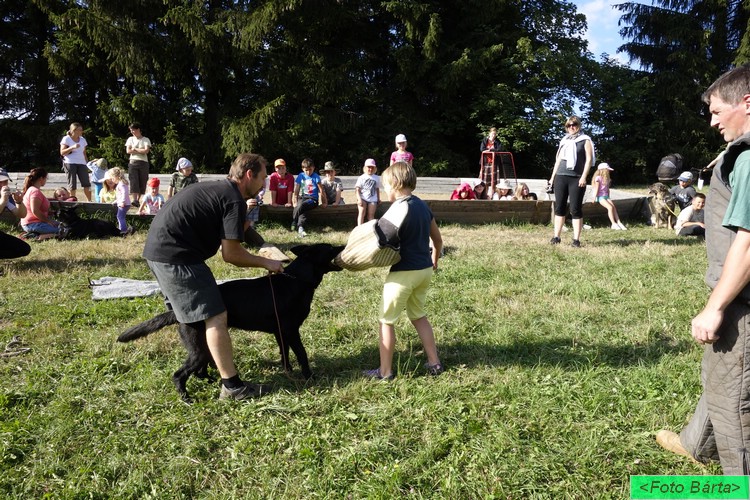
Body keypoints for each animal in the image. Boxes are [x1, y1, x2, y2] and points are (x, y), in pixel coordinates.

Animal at [117, 243, 344, 402]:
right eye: (329, 247)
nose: (343, 245)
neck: (296, 279)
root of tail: (179, 314)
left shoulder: (280, 333)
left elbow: (285, 355)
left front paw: (288, 373)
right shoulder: (291, 331)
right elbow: (302, 354)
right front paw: (309, 377)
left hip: (203, 347)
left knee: (200, 371)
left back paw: (212, 381)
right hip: (198, 351)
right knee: (179, 375)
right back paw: (186, 398)